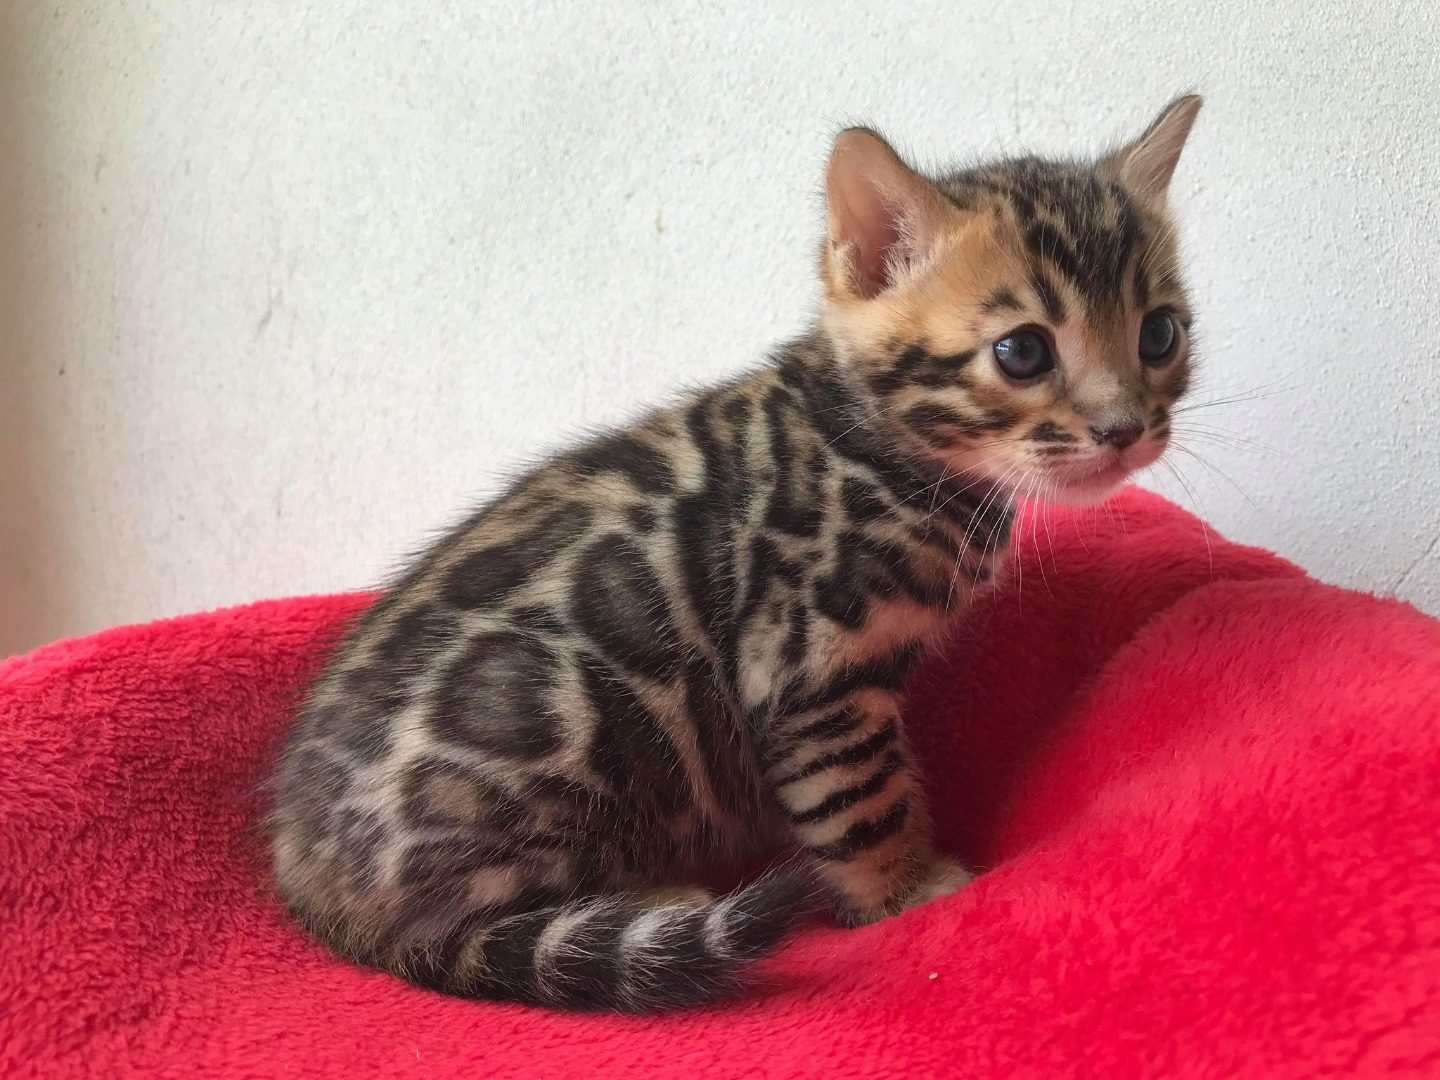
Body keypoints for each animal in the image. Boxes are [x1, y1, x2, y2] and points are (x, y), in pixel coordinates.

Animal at [269, 95, 1201, 1012]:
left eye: (1159, 336)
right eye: (1022, 351)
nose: (1125, 430)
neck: (875, 449)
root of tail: (315, 891)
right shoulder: (804, 673)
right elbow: (862, 802)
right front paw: (906, 893)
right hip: (568, 725)